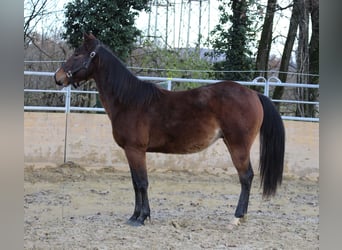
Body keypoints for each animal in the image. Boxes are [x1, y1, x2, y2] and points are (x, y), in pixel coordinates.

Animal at [55, 32, 286, 227]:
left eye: (77, 54)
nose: (58, 77)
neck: (129, 101)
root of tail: (254, 94)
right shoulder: (130, 152)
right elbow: (135, 183)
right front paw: (135, 216)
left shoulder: (135, 150)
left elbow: (142, 182)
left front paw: (142, 217)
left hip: (238, 145)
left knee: (246, 177)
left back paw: (237, 217)